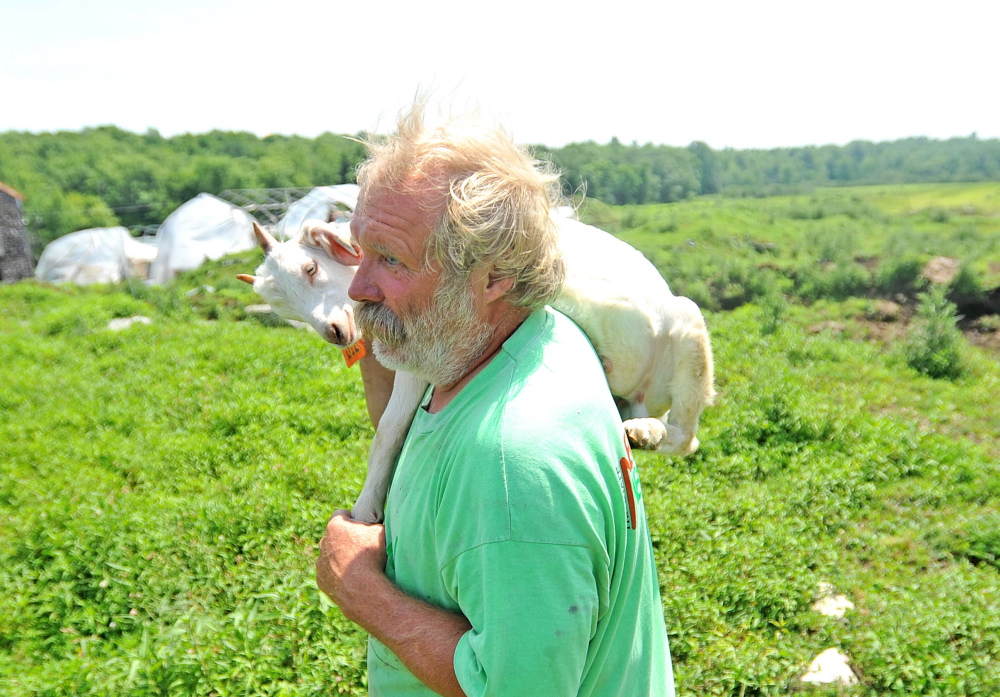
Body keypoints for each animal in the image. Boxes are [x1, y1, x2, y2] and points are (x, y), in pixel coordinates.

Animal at [238, 215, 716, 520]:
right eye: (284, 310)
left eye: (311, 267)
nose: (335, 332)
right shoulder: (412, 359)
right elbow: (390, 430)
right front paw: (367, 508)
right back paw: (641, 431)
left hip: (690, 330)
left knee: (688, 437)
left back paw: (654, 432)